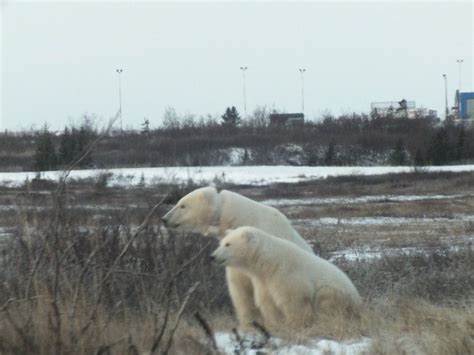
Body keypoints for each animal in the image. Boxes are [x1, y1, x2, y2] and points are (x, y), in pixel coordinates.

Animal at [209, 228, 362, 330]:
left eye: (228, 244)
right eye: (221, 242)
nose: (212, 256)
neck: (268, 261)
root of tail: (357, 300)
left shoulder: (286, 274)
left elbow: (293, 300)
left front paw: (295, 324)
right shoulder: (263, 281)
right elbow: (267, 302)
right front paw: (274, 324)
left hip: (336, 292)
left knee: (326, 301)